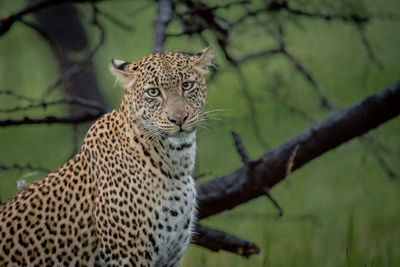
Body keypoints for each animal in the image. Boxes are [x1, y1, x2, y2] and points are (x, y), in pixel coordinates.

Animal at [0, 47, 216, 266]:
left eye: (187, 85)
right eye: (153, 92)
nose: (179, 119)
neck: (176, 164)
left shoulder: (169, 257)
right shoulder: (127, 255)